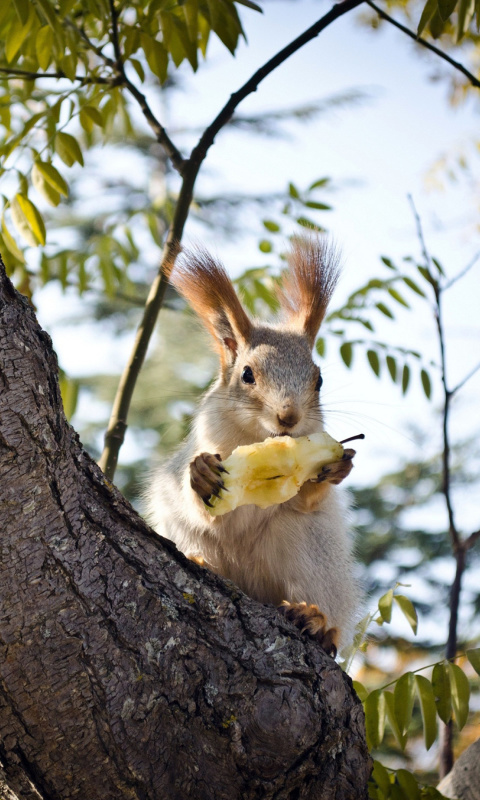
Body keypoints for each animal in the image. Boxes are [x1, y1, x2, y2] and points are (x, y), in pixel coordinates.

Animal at [144, 238, 358, 656]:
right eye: (247, 375)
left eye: (319, 380)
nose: (288, 417)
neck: (257, 438)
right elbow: (208, 510)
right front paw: (202, 476)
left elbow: (306, 500)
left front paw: (337, 469)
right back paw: (202, 562)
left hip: (310, 549)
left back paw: (316, 620)